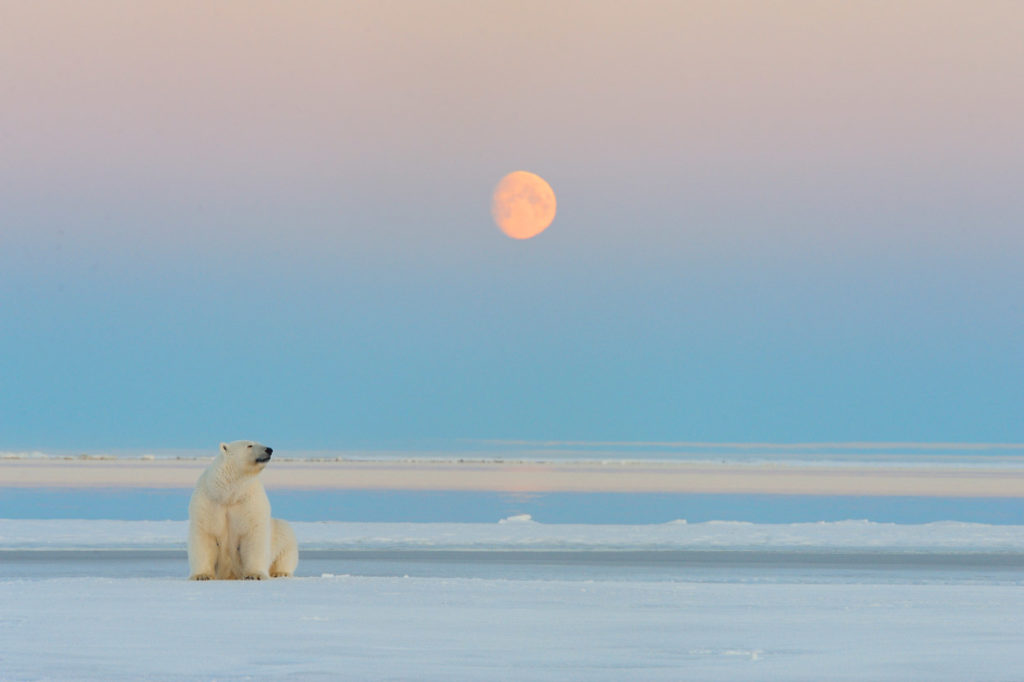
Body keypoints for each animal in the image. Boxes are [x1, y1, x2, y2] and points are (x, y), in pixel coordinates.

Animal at [188, 440, 299, 577]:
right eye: (250, 445)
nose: (269, 449)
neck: (229, 495)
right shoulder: (209, 501)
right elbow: (205, 534)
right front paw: (202, 575)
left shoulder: (249, 501)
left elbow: (253, 533)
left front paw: (254, 575)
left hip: (282, 535)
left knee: (285, 539)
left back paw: (280, 572)